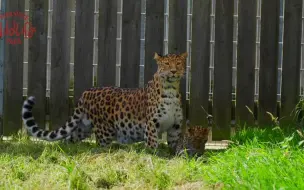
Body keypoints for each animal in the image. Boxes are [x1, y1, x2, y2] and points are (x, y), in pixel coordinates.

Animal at [21, 51, 186, 152]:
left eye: (178, 63)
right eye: (166, 64)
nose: (173, 71)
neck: (171, 90)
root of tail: (86, 92)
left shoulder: (176, 126)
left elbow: (175, 144)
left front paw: (175, 156)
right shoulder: (152, 124)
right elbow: (152, 145)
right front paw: (154, 156)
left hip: (83, 128)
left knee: (68, 139)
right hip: (105, 131)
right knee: (100, 145)